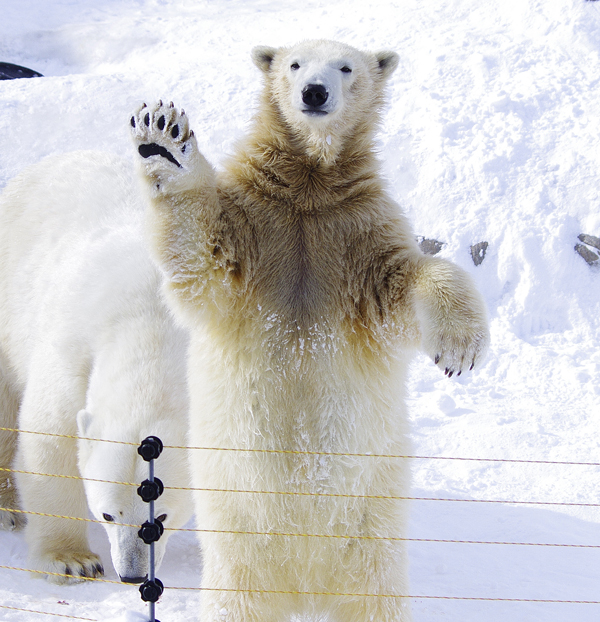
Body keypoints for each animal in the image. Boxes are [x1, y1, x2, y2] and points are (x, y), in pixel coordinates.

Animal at [0, 154, 192, 588]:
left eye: (162, 517)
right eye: (107, 514)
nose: (132, 576)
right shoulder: (73, 352)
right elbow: (50, 446)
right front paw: (72, 561)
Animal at [131, 40, 488, 622]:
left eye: (346, 67)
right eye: (294, 63)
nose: (314, 92)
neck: (309, 186)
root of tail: (303, 588)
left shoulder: (355, 240)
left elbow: (408, 280)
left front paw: (461, 350)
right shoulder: (258, 229)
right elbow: (202, 253)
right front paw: (163, 139)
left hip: (371, 530)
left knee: (374, 596)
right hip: (240, 543)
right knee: (237, 597)